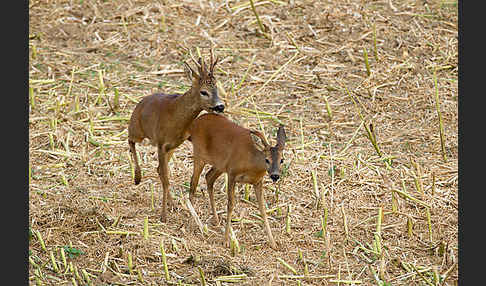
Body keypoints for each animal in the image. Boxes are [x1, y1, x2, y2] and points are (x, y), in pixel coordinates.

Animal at [126, 50, 223, 222]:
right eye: (204, 92)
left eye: (217, 88)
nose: (220, 106)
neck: (176, 118)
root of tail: (139, 104)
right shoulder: (160, 143)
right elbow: (165, 180)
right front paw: (163, 216)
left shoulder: (180, 140)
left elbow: (178, 177)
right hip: (138, 130)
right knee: (130, 140)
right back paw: (137, 177)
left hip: (170, 148)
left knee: (159, 169)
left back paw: (171, 203)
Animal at [186, 111, 284, 248]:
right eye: (267, 160)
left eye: (282, 160)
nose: (275, 175)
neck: (251, 162)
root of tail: (195, 122)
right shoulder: (232, 173)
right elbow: (230, 204)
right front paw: (226, 240)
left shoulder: (257, 181)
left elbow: (263, 209)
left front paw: (273, 243)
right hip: (199, 154)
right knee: (193, 183)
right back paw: (192, 222)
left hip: (220, 164)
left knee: (209, 177)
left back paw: (216, 219)